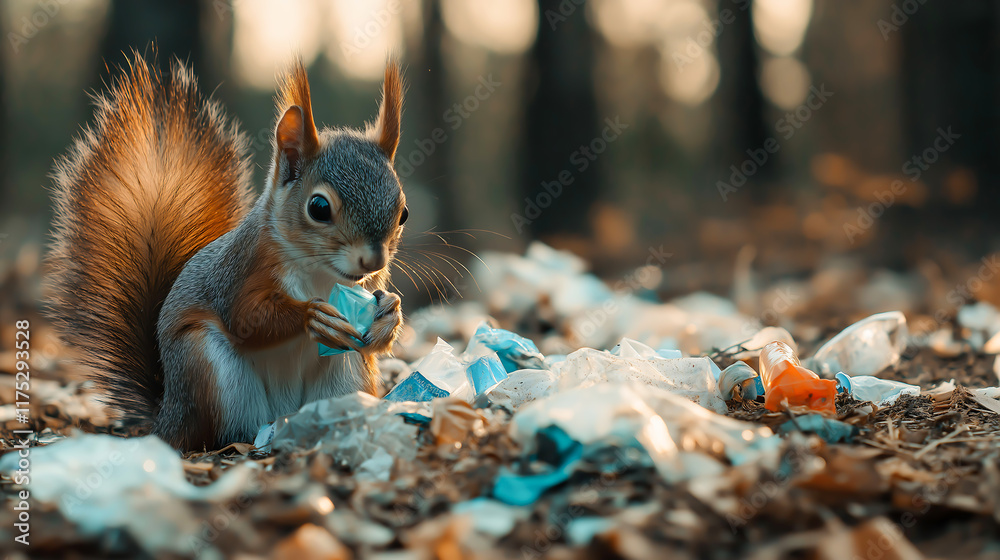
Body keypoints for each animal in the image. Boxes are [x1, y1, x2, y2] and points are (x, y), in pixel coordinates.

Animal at [44, 53, 408, 451]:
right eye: (319, 208)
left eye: (403, 213)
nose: (374, 260)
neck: (320, 274)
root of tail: (168, 417)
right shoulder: (243, 269)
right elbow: (244, 317)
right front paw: (311, 316)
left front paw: (389, 313)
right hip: (206, 367)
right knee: (221, 432)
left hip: (348, 372)